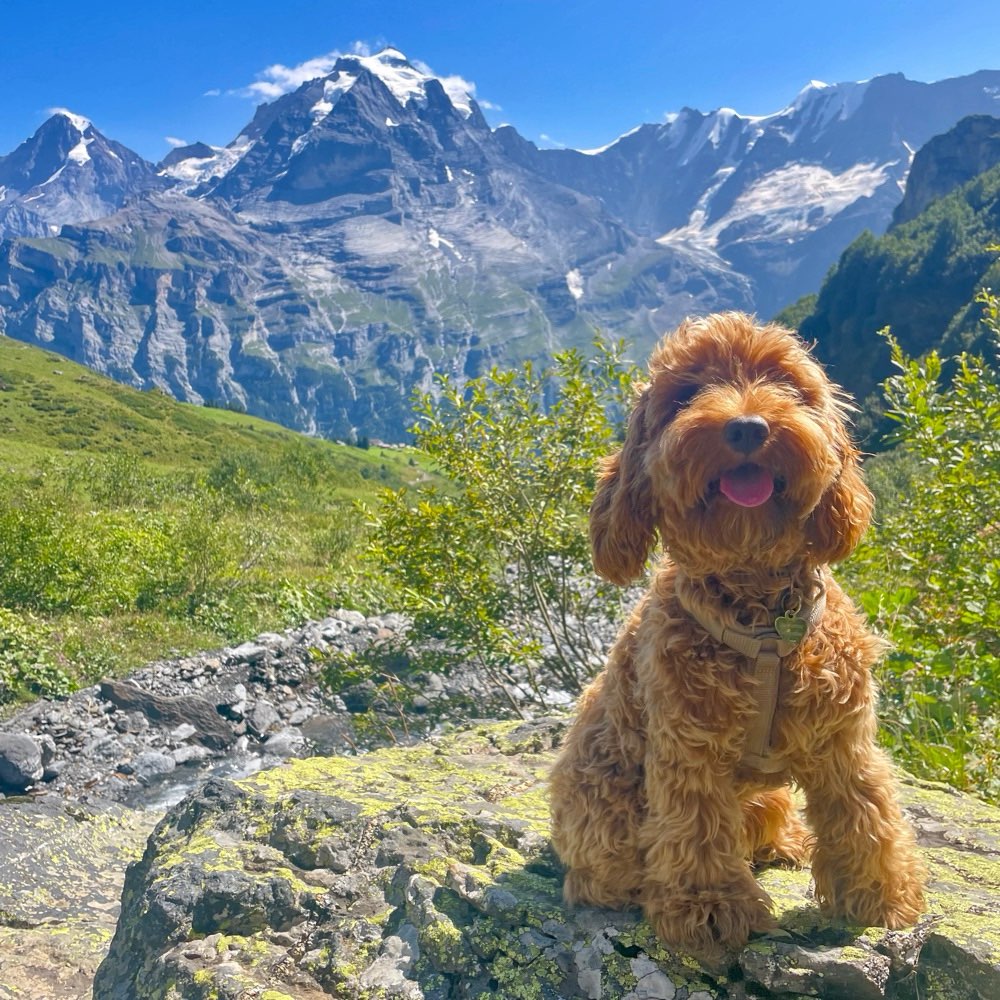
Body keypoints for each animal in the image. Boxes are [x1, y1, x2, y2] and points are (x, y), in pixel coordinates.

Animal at [552, 310, 924, 952]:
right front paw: (708, 910)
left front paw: (880, 896)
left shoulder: (843, 741)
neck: (764, 617)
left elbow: (864, 810)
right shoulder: (687, 750)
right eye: (685, 394)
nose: (748, 428)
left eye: (784, 382)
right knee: (604, 870)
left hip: (765, 796)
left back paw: (785, 842)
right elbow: (696, 829)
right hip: (604, 805)